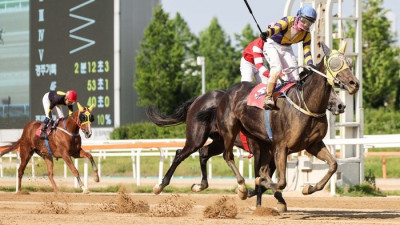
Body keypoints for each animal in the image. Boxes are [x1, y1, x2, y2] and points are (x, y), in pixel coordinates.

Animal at [217, 40, 360, 211]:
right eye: (335, 63)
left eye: (350, 63)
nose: (354, 84)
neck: (306, 104)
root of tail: (228, 92)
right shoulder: (281, 146)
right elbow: (281, 182)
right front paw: (260, 185)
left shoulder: (313, 144)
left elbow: (333, 165)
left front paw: (308, 188)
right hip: (230, 131)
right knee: (228, 156)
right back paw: (243, 188)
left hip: (262, 142)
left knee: (261, 168)